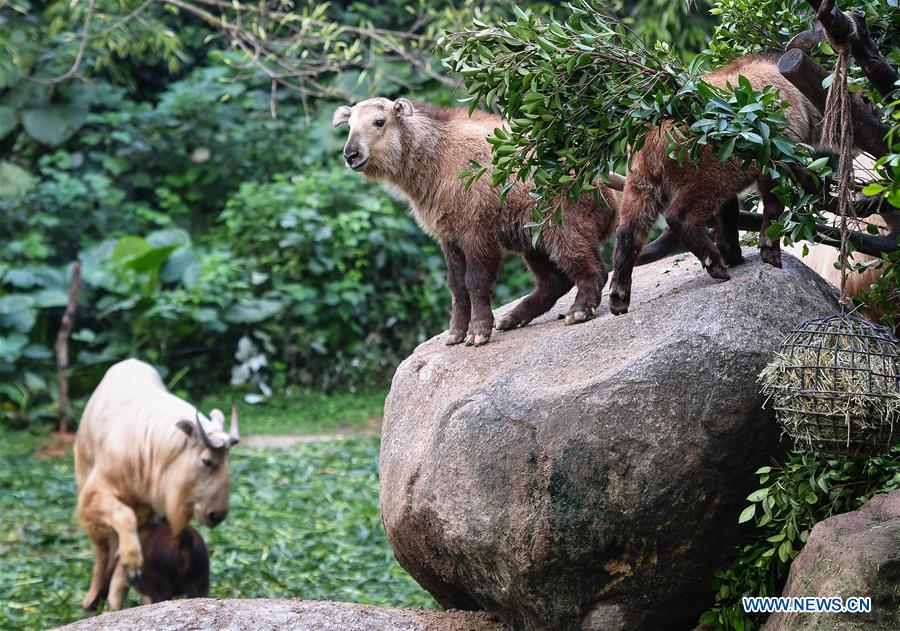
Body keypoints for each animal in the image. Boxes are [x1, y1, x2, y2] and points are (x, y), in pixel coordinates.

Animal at [75, 360, 239, 612]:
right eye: (207, 461)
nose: (217, 515)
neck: (149, 445)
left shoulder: (146, 515)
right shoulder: (92, 497)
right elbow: (123, 519)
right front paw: (131, 562)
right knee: (102, 548)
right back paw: (93, 598)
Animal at [330, 97, 620, 348]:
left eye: (379, 121)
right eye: (349, 125)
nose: (351, 155)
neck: (437, 157)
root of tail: (609, 199)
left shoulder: (476, 230)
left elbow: (476, 282)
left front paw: (478, 331)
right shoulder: (448, 236)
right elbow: (457, 286)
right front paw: (456, 333)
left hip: (561, 228)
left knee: (594, 269)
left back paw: (579, 310)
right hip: (531, 241)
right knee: (554, 282)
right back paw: (513, 318)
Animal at [608, 53, 820, 314]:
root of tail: (652, 137)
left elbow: (727, 215)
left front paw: (734, 253)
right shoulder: (773, 152)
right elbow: (772, 201)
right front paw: (768, 249)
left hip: (642, 182)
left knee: (628, 230)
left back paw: (618, 294)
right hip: (715, 169)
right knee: (678, 216)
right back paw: (714, 263)